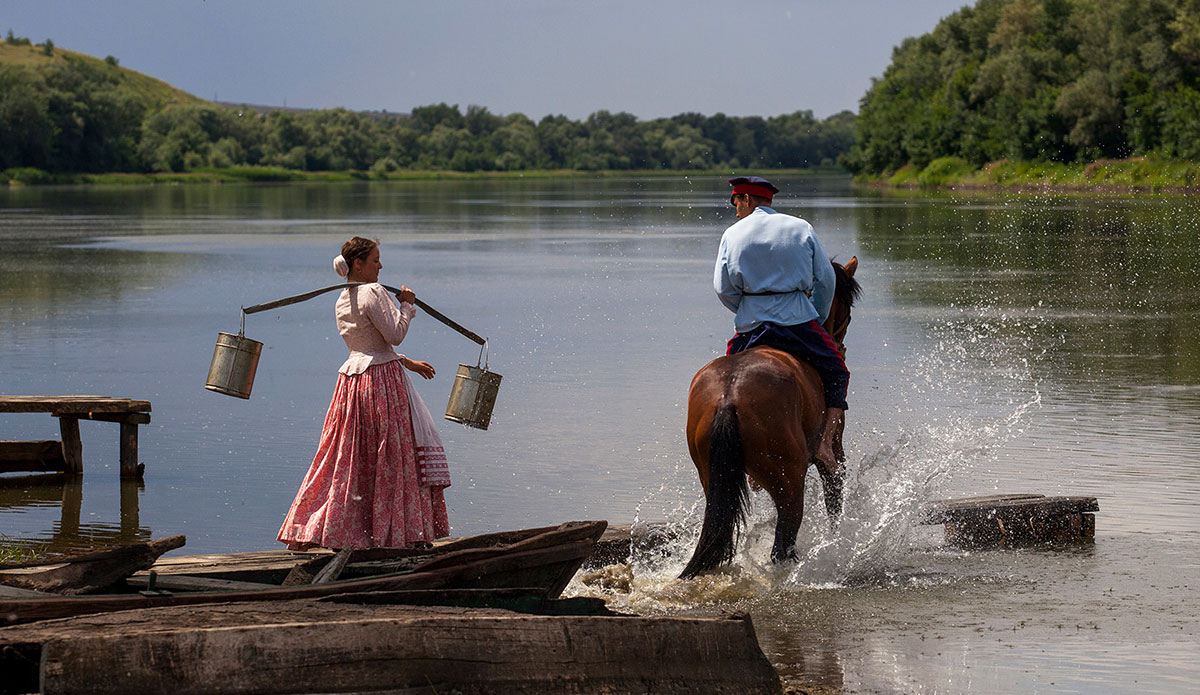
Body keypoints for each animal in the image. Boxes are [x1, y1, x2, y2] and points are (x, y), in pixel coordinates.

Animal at [681, 258, 859, 578]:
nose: (840, 347)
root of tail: (728, 396)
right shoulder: (833, 450)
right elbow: (834, 498)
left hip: (712, 476)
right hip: (789, 483)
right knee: (782, 547)